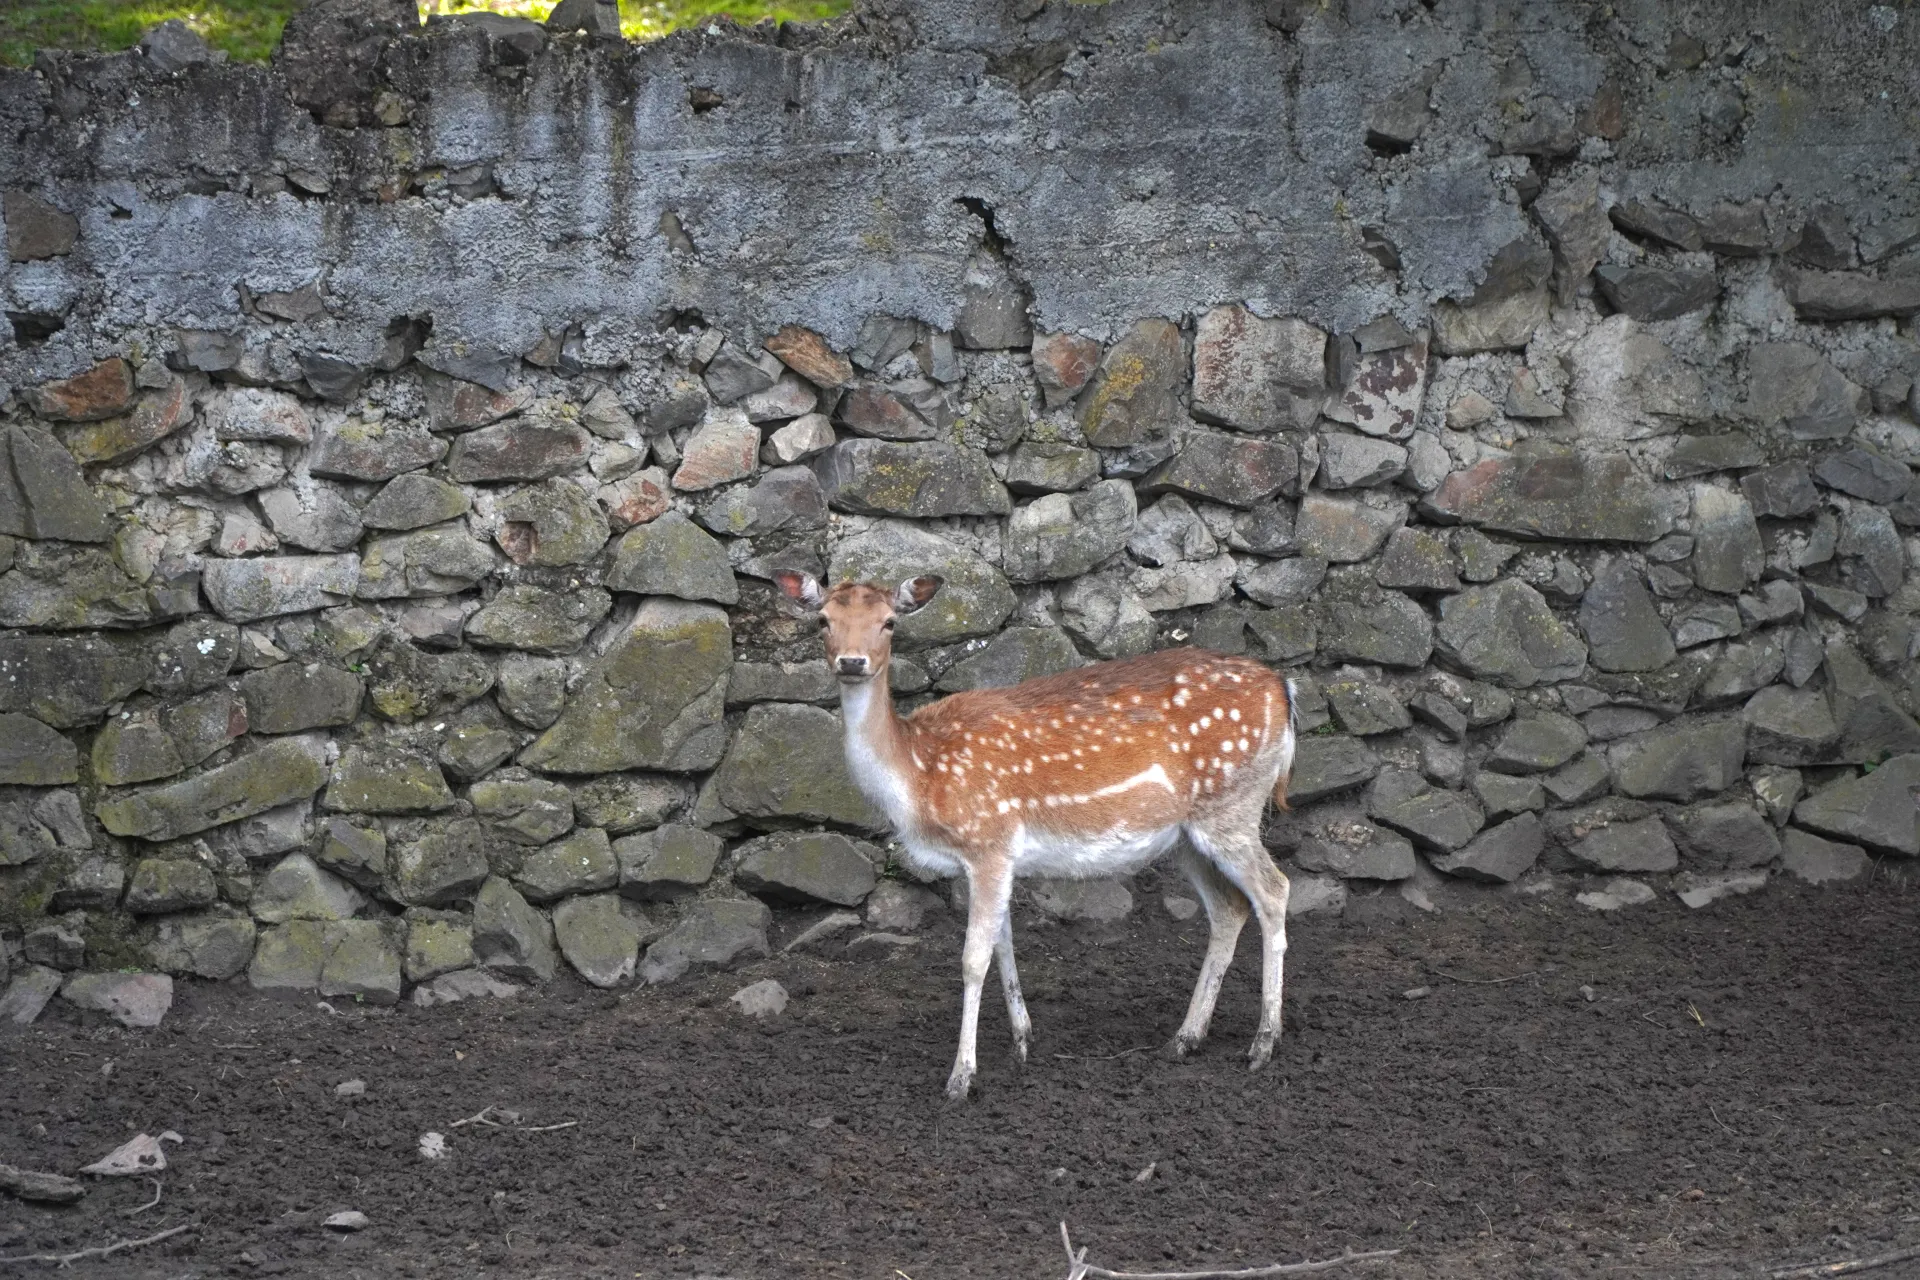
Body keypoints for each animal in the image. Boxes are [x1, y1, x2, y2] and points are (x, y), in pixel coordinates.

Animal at [773, 570, 1299, 1100]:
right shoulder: (991, 858)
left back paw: (1263, 1044)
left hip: (1232, 807)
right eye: (823, 620)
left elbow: (972, 958)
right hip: (1188, 835)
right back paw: (1185, 1039)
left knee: (1275, 890)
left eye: (889, 622)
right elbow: (1002, 943)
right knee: (1229, 909)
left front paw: (961, 1077)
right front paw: (1022, 1043)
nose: (852, 661)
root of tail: (1285, 688)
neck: (920, 778)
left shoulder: (988, 840)